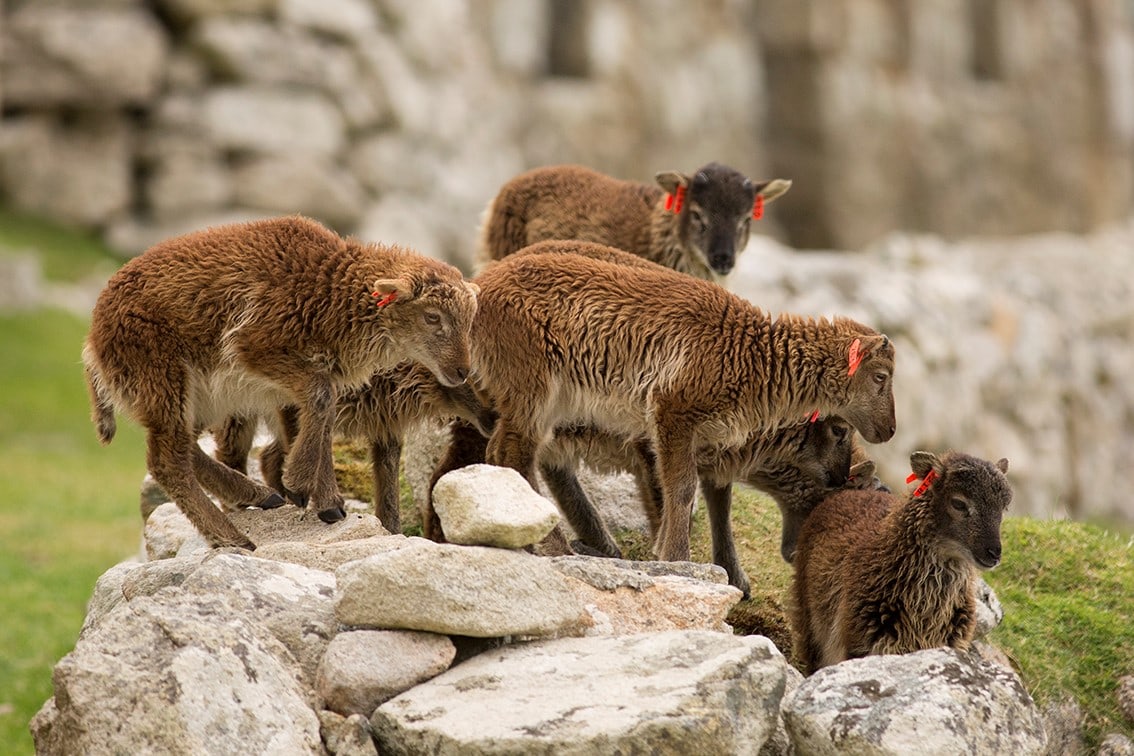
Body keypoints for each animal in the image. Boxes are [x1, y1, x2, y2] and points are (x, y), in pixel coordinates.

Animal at [83, 215, 480, 546]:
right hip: (165, 380)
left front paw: (322, 501)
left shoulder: (298, 384)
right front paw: (303, 487)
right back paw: (234, 537)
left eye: (469, 319)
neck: (329, 290)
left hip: (195, 398)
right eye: (432, 317)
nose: (462, 371)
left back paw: (259, 496)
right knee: (168, 462)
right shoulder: (255, 347)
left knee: (187, 451)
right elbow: (320, 399)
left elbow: (318, 416)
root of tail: (93, 342)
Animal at [467, 243, 893, 566]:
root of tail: (479, 287)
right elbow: (681, 490)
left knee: (504, 454)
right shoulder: (672, 414)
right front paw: (675, 557)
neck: (752, 351)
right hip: (534, 395)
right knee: (516, 456)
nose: (888, 431)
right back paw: (555, 545)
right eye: (881, 376)